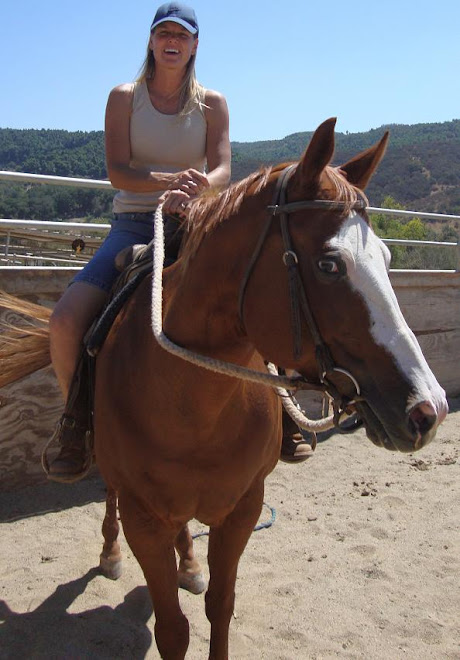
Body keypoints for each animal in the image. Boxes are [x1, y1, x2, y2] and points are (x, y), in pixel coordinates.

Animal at [0, 118, 448, 659]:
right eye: (329, 265)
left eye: (384, 256)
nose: (428, 410)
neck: (192, 402)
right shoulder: (143, 518)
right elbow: (172, 629)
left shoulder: (242, 509)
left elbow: (220, 605)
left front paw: (198, 575)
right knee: (107, 493)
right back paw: (109, 553)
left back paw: (190, 565)